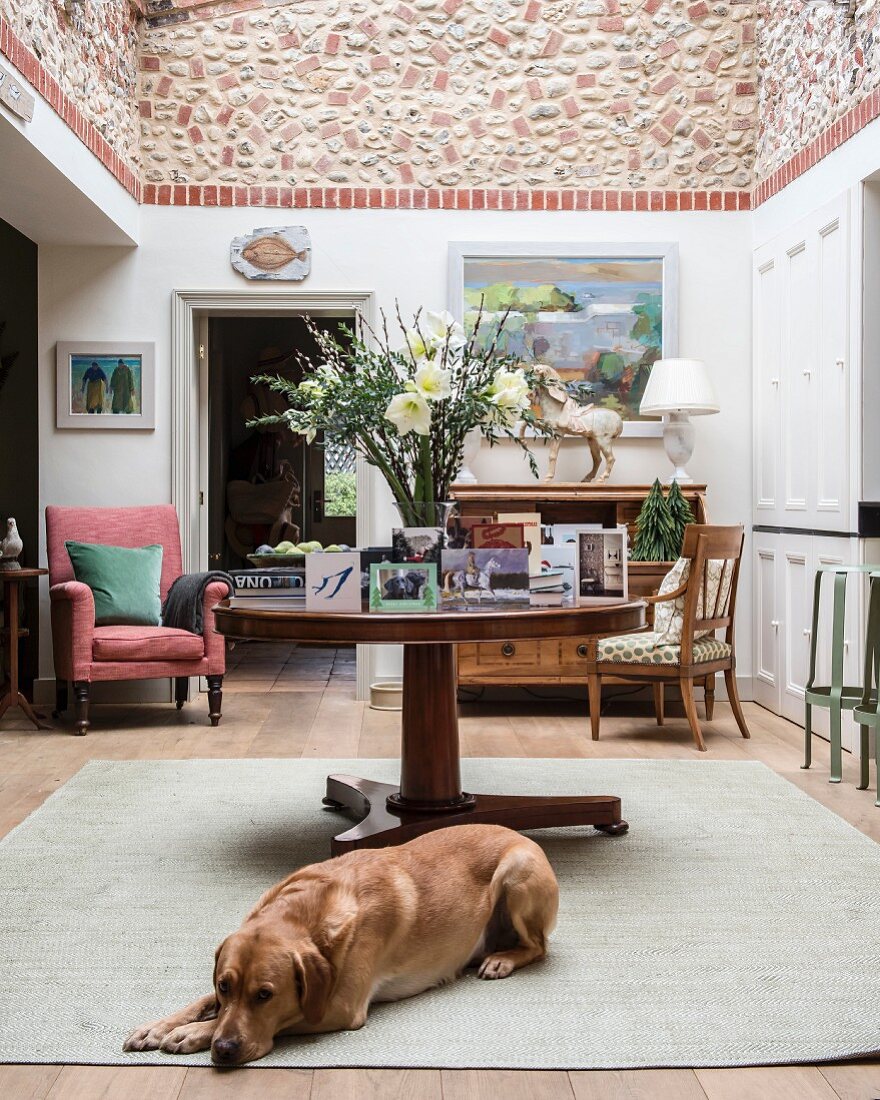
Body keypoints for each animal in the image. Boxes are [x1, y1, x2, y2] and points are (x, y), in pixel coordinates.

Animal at [123, 827, 556, 1064]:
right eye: (224, 986)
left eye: (265, 995)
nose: (225, 1048)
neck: (308, 914)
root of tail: (522, 836)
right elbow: (200, 1002)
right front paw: (158, 1027)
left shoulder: (339, 1007)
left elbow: (286, 1015)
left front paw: (193, 1034)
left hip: (517, 876)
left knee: (538, 946)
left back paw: (502, 959)